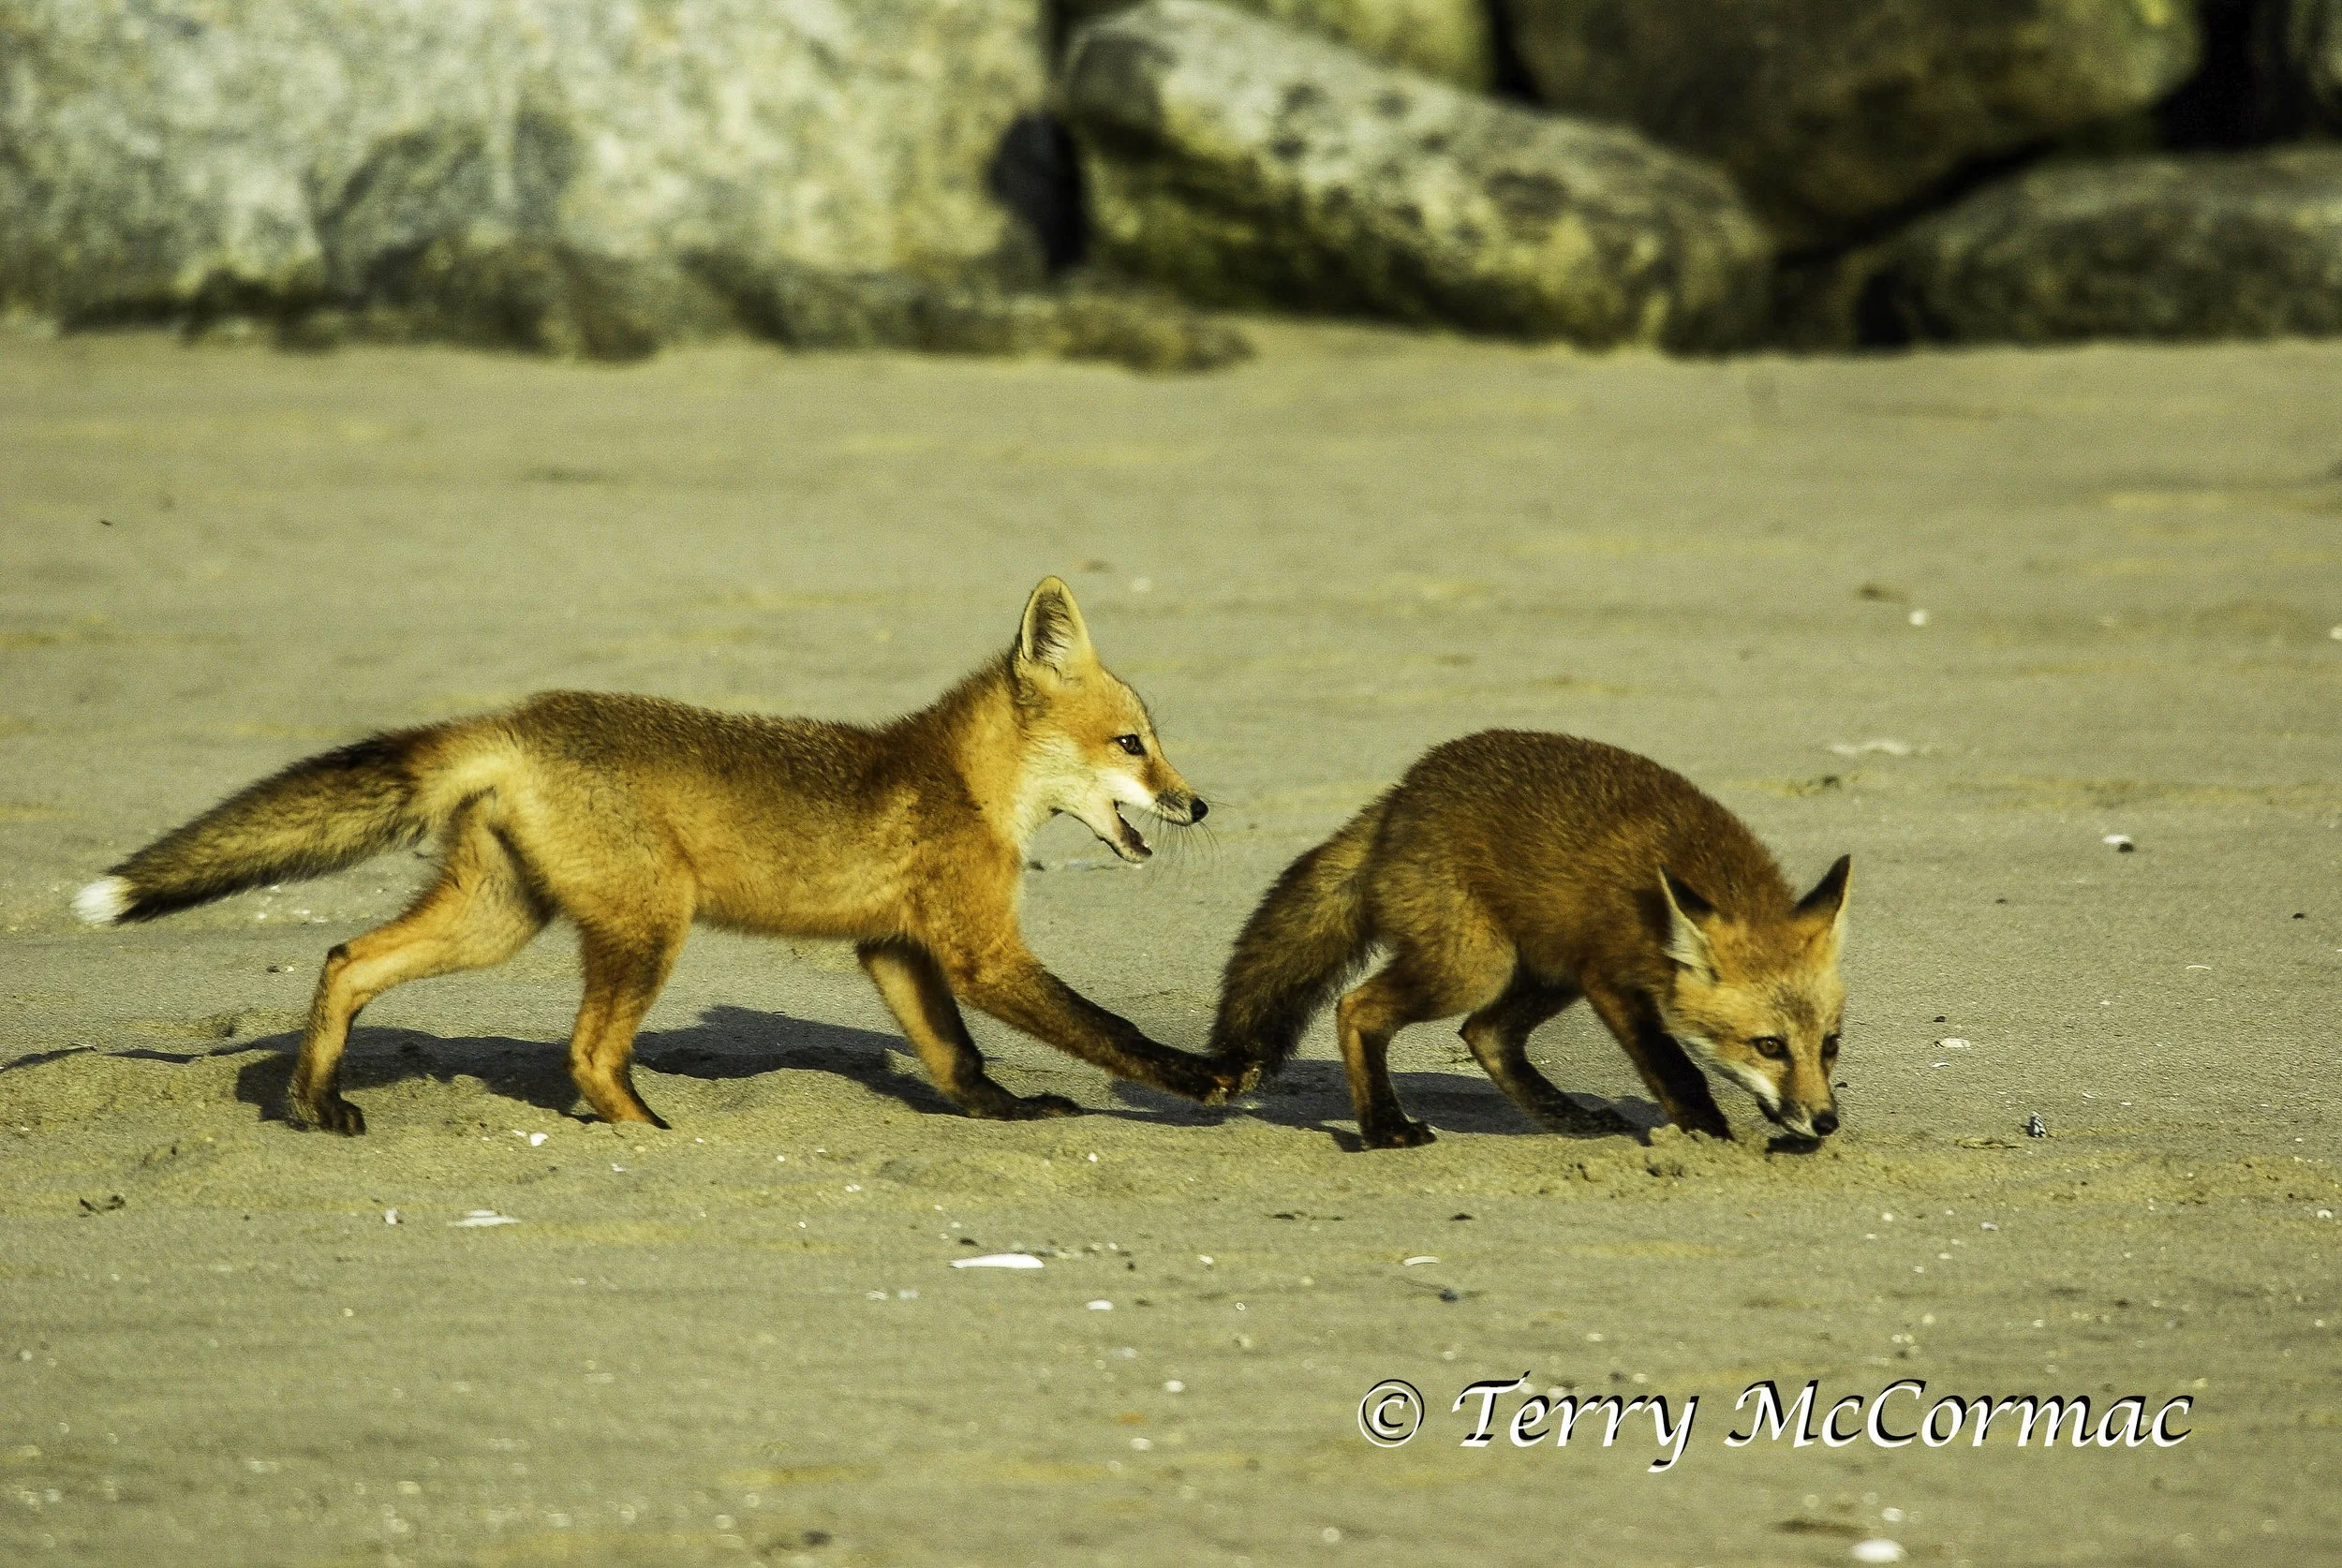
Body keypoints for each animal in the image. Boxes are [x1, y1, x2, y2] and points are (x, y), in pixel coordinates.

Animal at [73, 577, 1238, 1133]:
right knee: (588, 1055)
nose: (1198, 803)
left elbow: (957, 1060)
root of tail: (515, 718)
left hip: (499, 919)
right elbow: (1107, 1028)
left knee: (346, 961)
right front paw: (1200, 1076)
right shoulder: (978, 950)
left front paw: (1004, 1116)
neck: (958, 780)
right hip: (646, 926)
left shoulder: (895, 950)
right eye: (1132, 744)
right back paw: (653, 1135)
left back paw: (318, 1105)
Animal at [1208, 730, 1851, 1148]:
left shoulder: (1590, 972)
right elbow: (1678, 1072)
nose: (1825, 1122)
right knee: (1358, 1007)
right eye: (1769, 1046)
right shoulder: (1609, 979)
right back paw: (1384, 1128)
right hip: (1478, 966)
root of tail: (1402, 793)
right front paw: (1711, 1139)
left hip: (1547, 967)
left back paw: (1568, 1118)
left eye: (1830, 1045)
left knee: (1484, 1033)